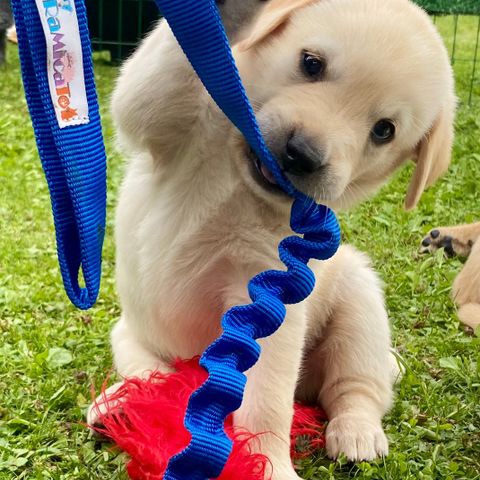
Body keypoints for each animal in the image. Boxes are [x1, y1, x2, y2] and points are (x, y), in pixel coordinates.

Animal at [91, 1, 458, 478]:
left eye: (383, 130)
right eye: (311, 63)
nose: (301, 154)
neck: (239, 184)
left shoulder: (267, 301)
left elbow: (265, 403)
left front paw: (266, 463)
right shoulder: (167, 125)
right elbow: (144, 94)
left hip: (358, 299)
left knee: (356, 389)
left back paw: (357, 433)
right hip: (131, 333)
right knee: (149, 369)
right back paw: (121, 404)